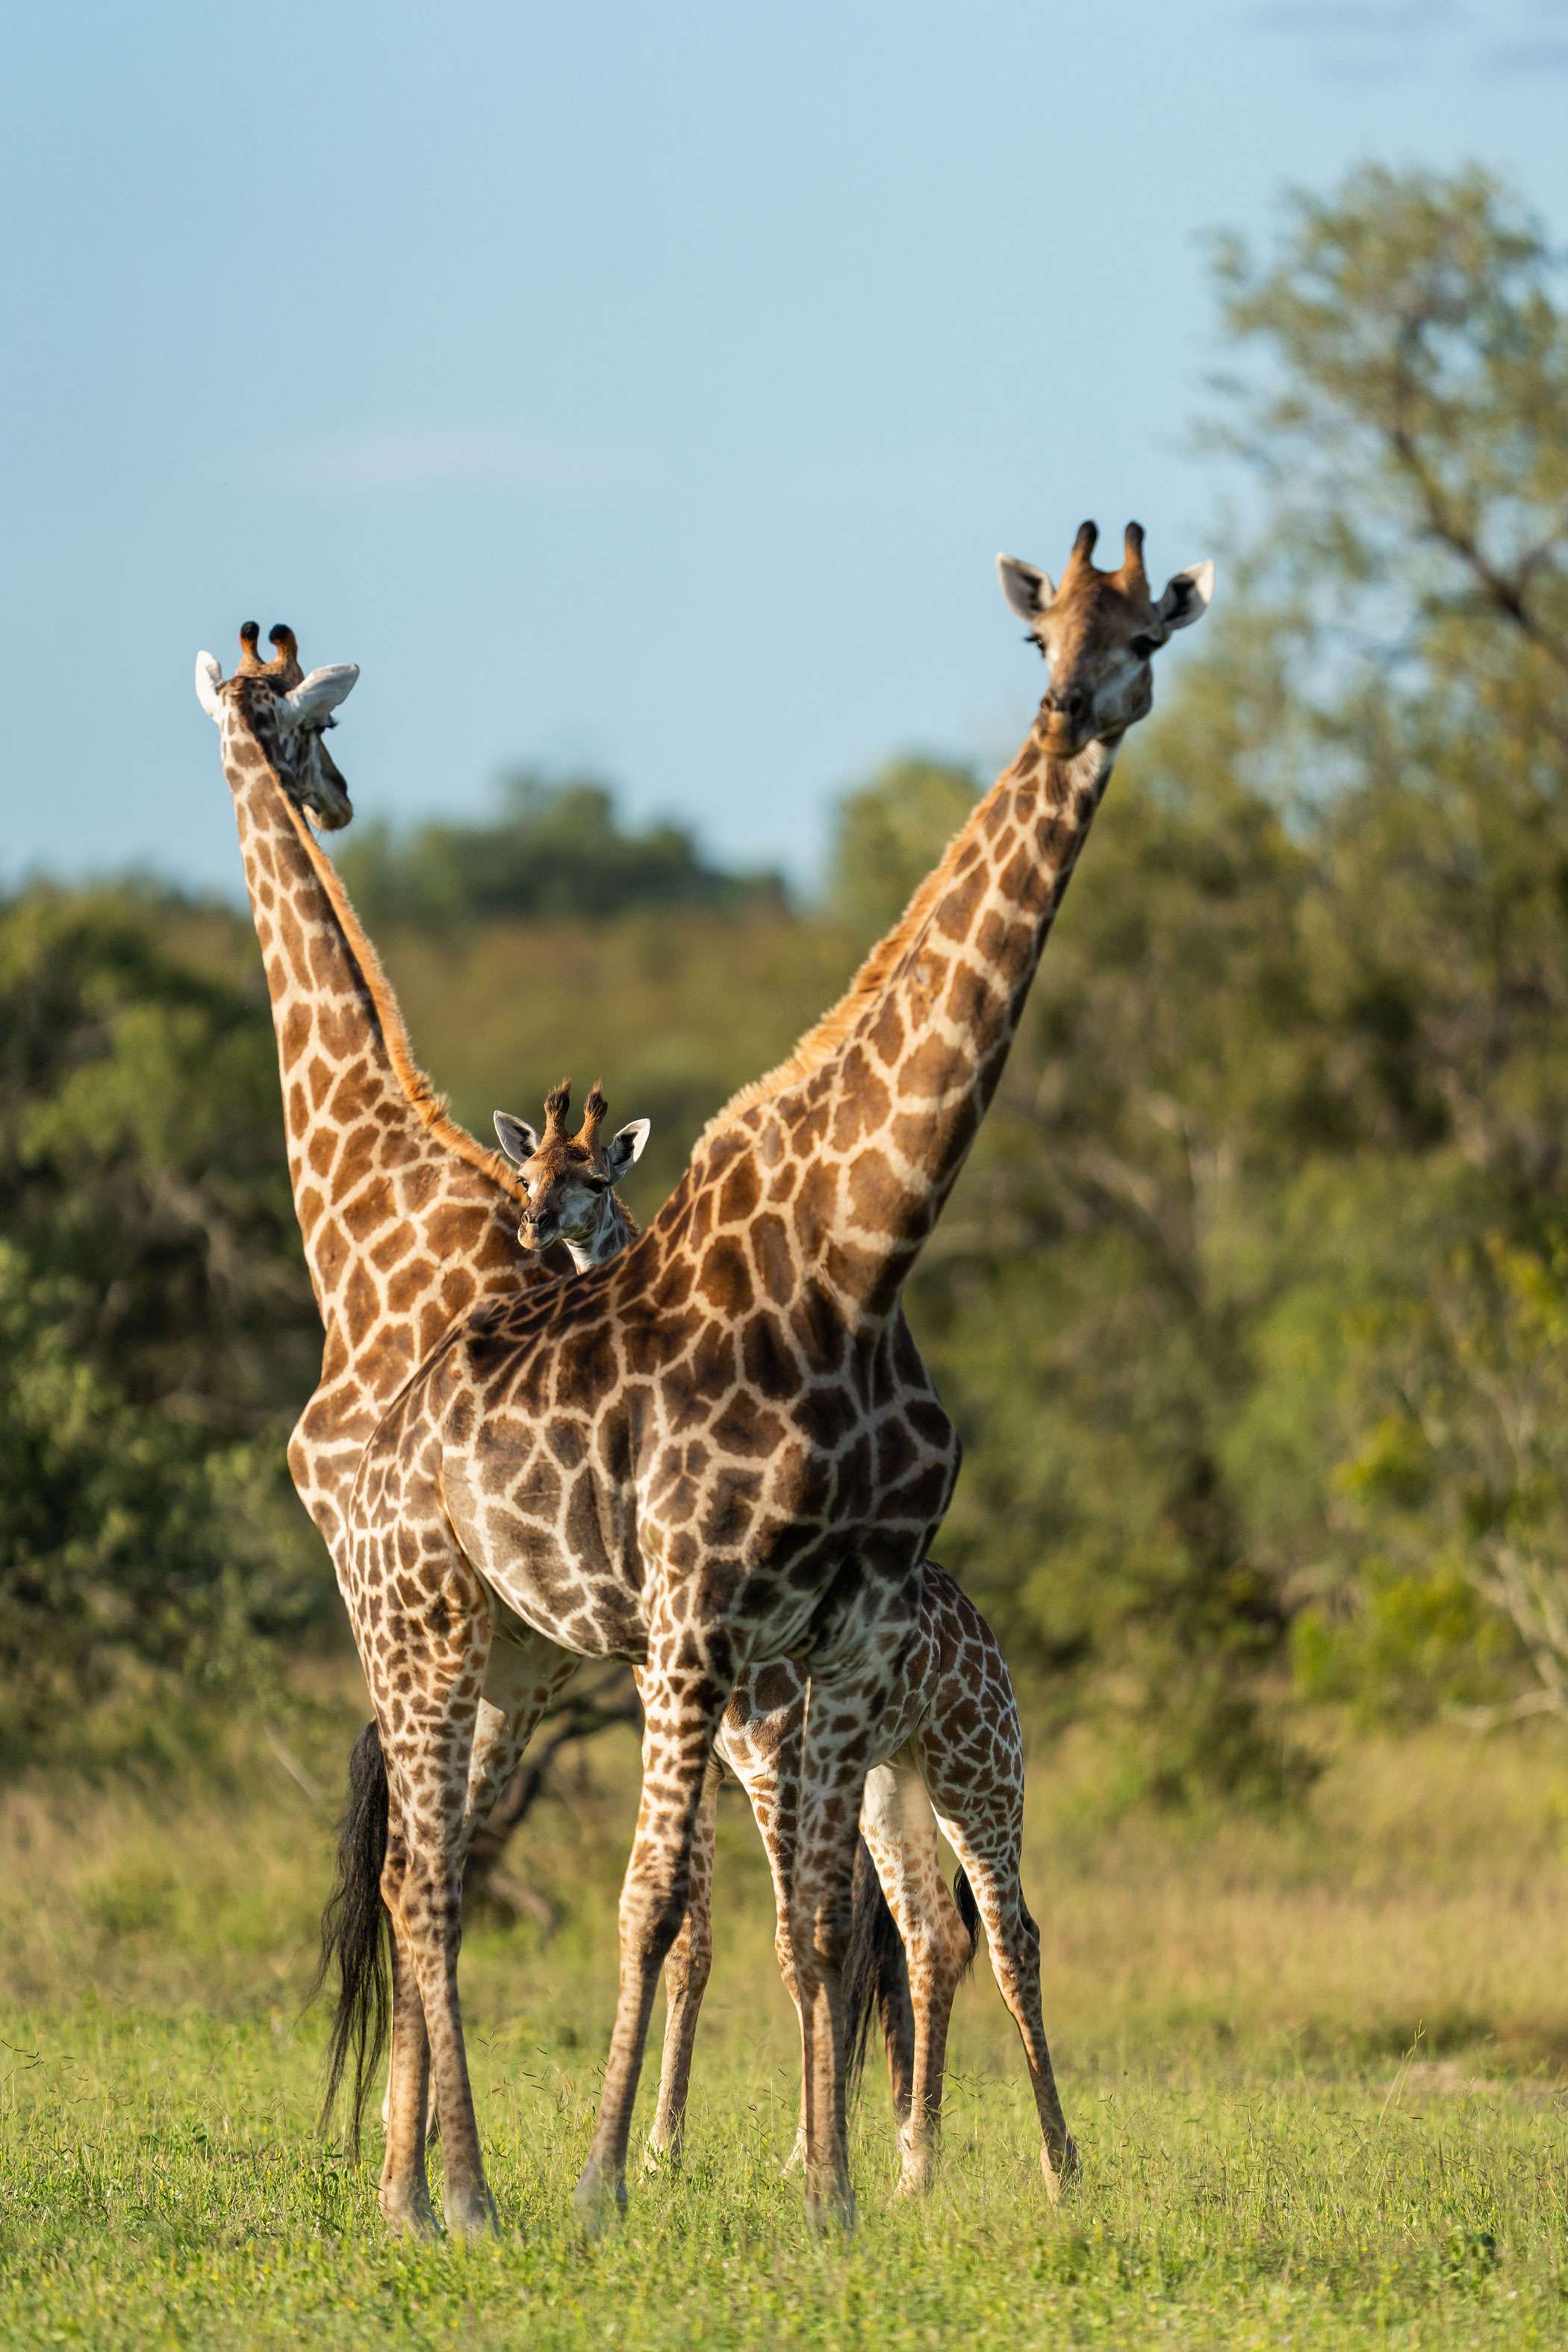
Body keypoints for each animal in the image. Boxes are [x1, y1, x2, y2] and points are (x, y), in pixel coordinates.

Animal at [334, 519, 1214, 2240]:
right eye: (1037, 639)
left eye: (1145, 632)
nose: (1074, 706)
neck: (859, 1262)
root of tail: (396, 1414)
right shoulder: (694, 1610)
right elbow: (656, 1898)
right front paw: (608, 2184)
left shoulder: (843, 1629)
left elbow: (820, 1922)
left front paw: (835, 2202)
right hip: (423, 1617)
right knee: (424, 1871)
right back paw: (453, 2193)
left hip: (535, 1654)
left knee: (452, 1868)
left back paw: (433, 2187)